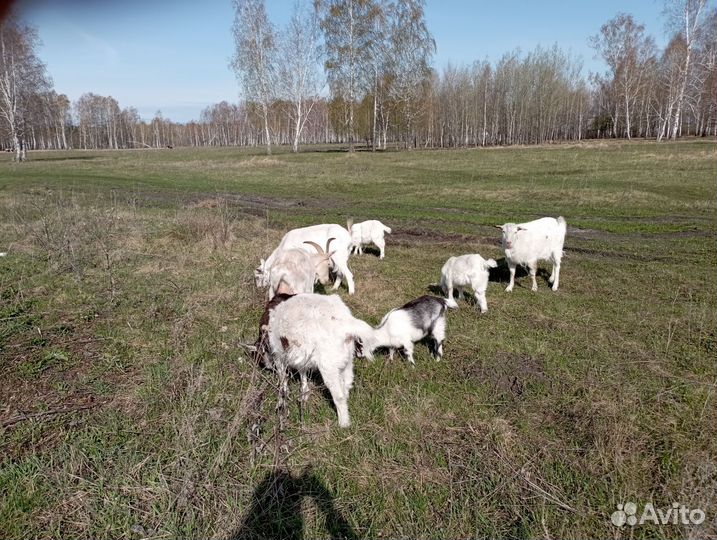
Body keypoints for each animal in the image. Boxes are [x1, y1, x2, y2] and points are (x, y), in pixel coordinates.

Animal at [266, 293, 377, 428]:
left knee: (338, 395)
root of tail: (345, 325)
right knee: (347, 383)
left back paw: (343, 424)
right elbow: (303, 373)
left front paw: (282, 400)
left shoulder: (278, 356)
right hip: (347, 359)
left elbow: (283, 379)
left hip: (329, 365)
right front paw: (303, 394)